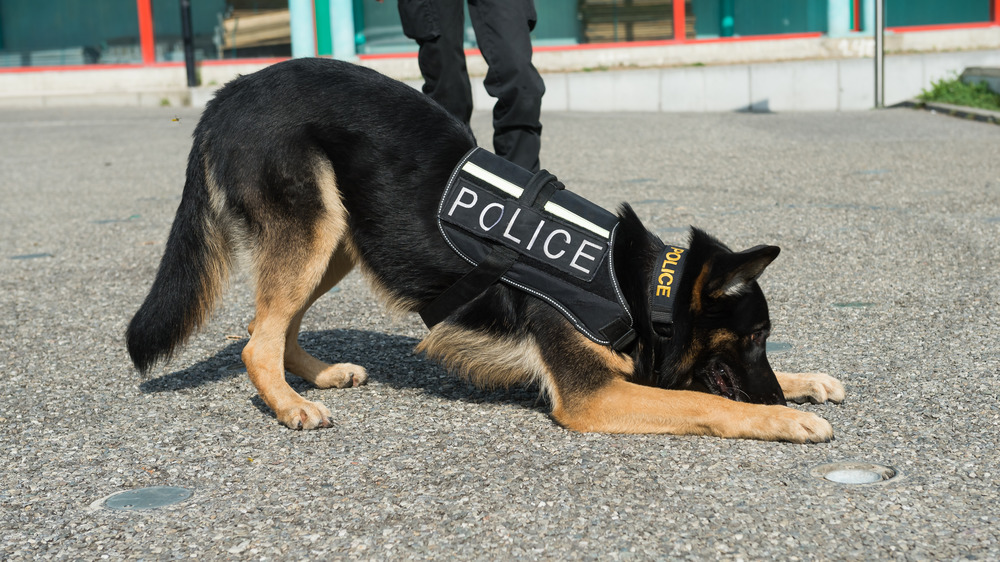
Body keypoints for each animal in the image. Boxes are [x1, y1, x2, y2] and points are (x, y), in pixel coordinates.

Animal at [127, 58, 844, 442]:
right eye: (755, 338)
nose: (775, 400)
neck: (635, 285)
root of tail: (230, 91)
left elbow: (704, 389)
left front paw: (805, 383)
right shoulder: (593, 397)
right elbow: (708, 401)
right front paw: (786, 421)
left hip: (340, 239)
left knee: (271, 325)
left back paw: (316, 375)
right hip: (314, 235)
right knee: (257, 338)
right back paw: (291, 405)